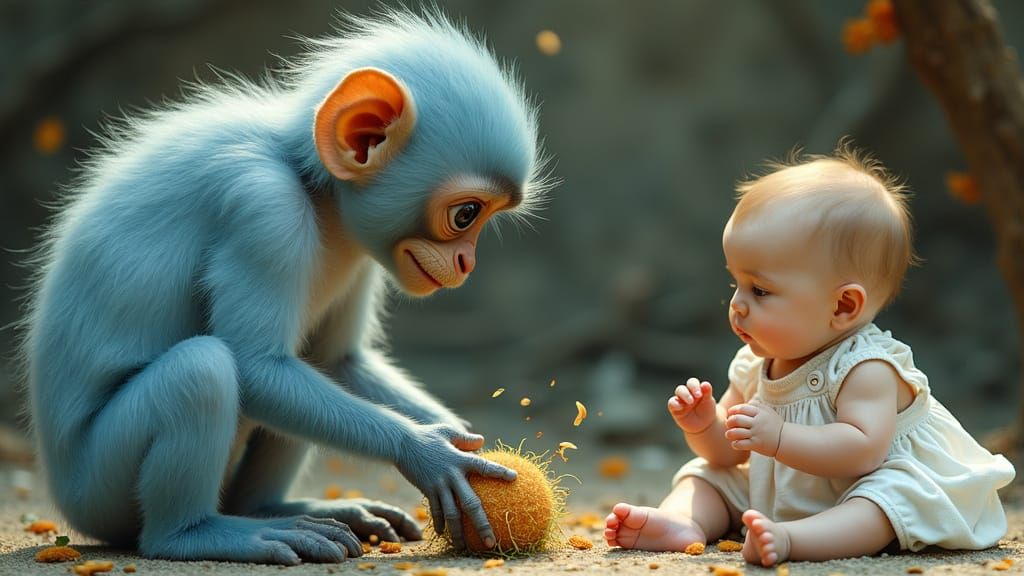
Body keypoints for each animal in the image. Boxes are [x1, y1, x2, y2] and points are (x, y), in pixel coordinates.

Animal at [21, 10, 550, 565]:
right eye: (466, 214)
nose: (467, 263)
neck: (308, 181)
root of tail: (63, 492)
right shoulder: (263, 207)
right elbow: (256, 367)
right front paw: (427, 452)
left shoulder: (360, 252)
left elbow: (339, 361)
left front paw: (458, 432)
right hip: (100, 486)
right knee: (201, 370)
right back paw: (201, 533)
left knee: (307, 363)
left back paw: (277, 510)